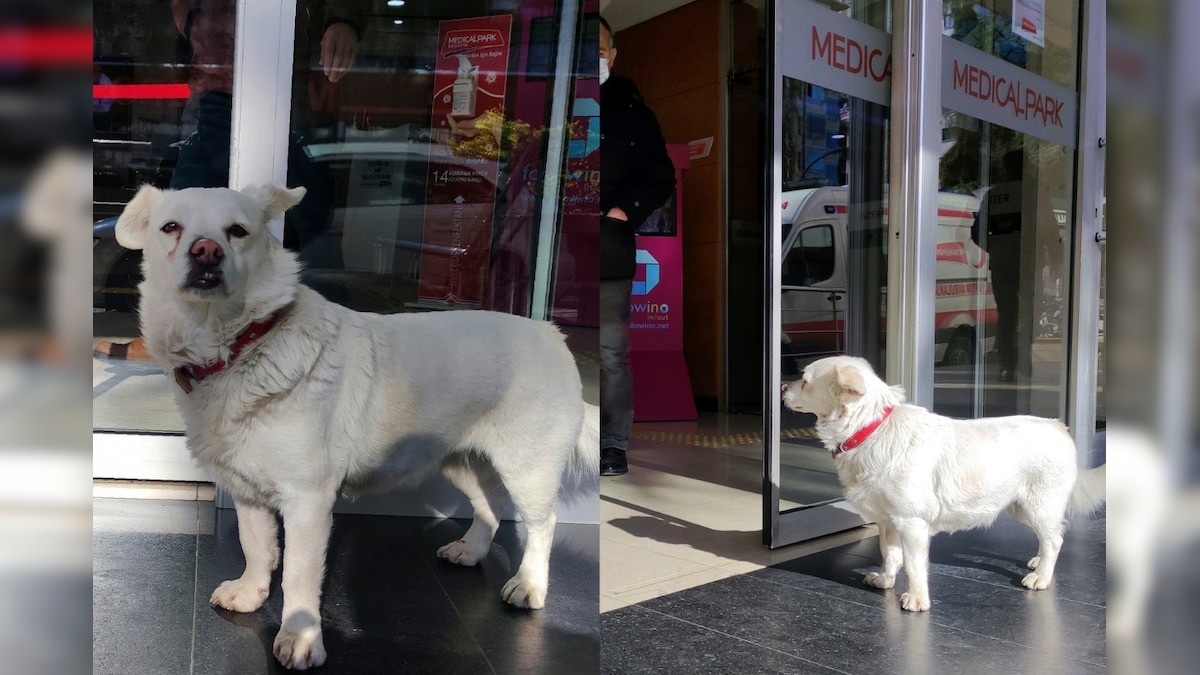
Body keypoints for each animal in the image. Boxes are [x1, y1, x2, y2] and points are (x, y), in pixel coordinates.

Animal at [115, 184, 600, 667]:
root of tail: (552, 334)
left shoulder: (308, 501)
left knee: (543, 523)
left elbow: (298, 577)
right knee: (490, 505)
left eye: (237, 231)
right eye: (171, 227)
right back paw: (471, 550)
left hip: (528, 468)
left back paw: (529, 585)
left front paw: (300, 639)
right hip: (459, 459)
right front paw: (251, 593)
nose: (207, 252)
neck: (238, 345)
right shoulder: (247, 490)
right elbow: (257, 547)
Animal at [777, 355, 1104, 612]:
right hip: (1021, 507)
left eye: (804, 380)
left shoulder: (911, 522)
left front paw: (916, 599)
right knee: (1049, 537)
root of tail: (1059, 426)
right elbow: (889, 553)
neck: (871, 429)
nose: (781, 386)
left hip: (1040, 505)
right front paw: (884, 580)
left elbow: (913, 564)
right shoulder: (888, 520)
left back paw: (1042, 577)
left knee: (1055, 540)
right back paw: (1038, 561)